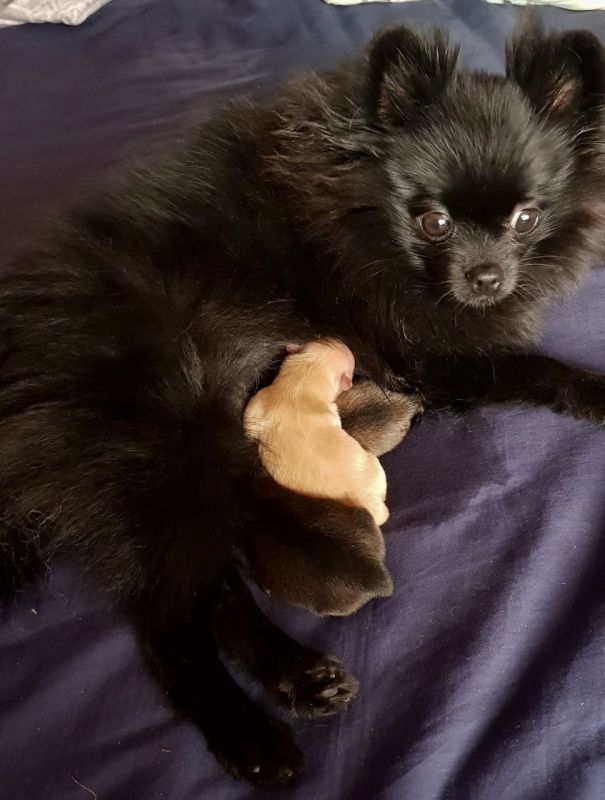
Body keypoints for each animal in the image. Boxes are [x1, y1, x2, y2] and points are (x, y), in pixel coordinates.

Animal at [2, 18, 605, 785]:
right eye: (433, 224)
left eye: (526, 219)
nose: (486, 276)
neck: (356, 221)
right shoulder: (426, 361)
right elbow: (538, 366)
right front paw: (597, 390)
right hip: (171, 449)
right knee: (170, 631)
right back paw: (253, 741)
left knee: (213, 591)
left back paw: (297, 677)